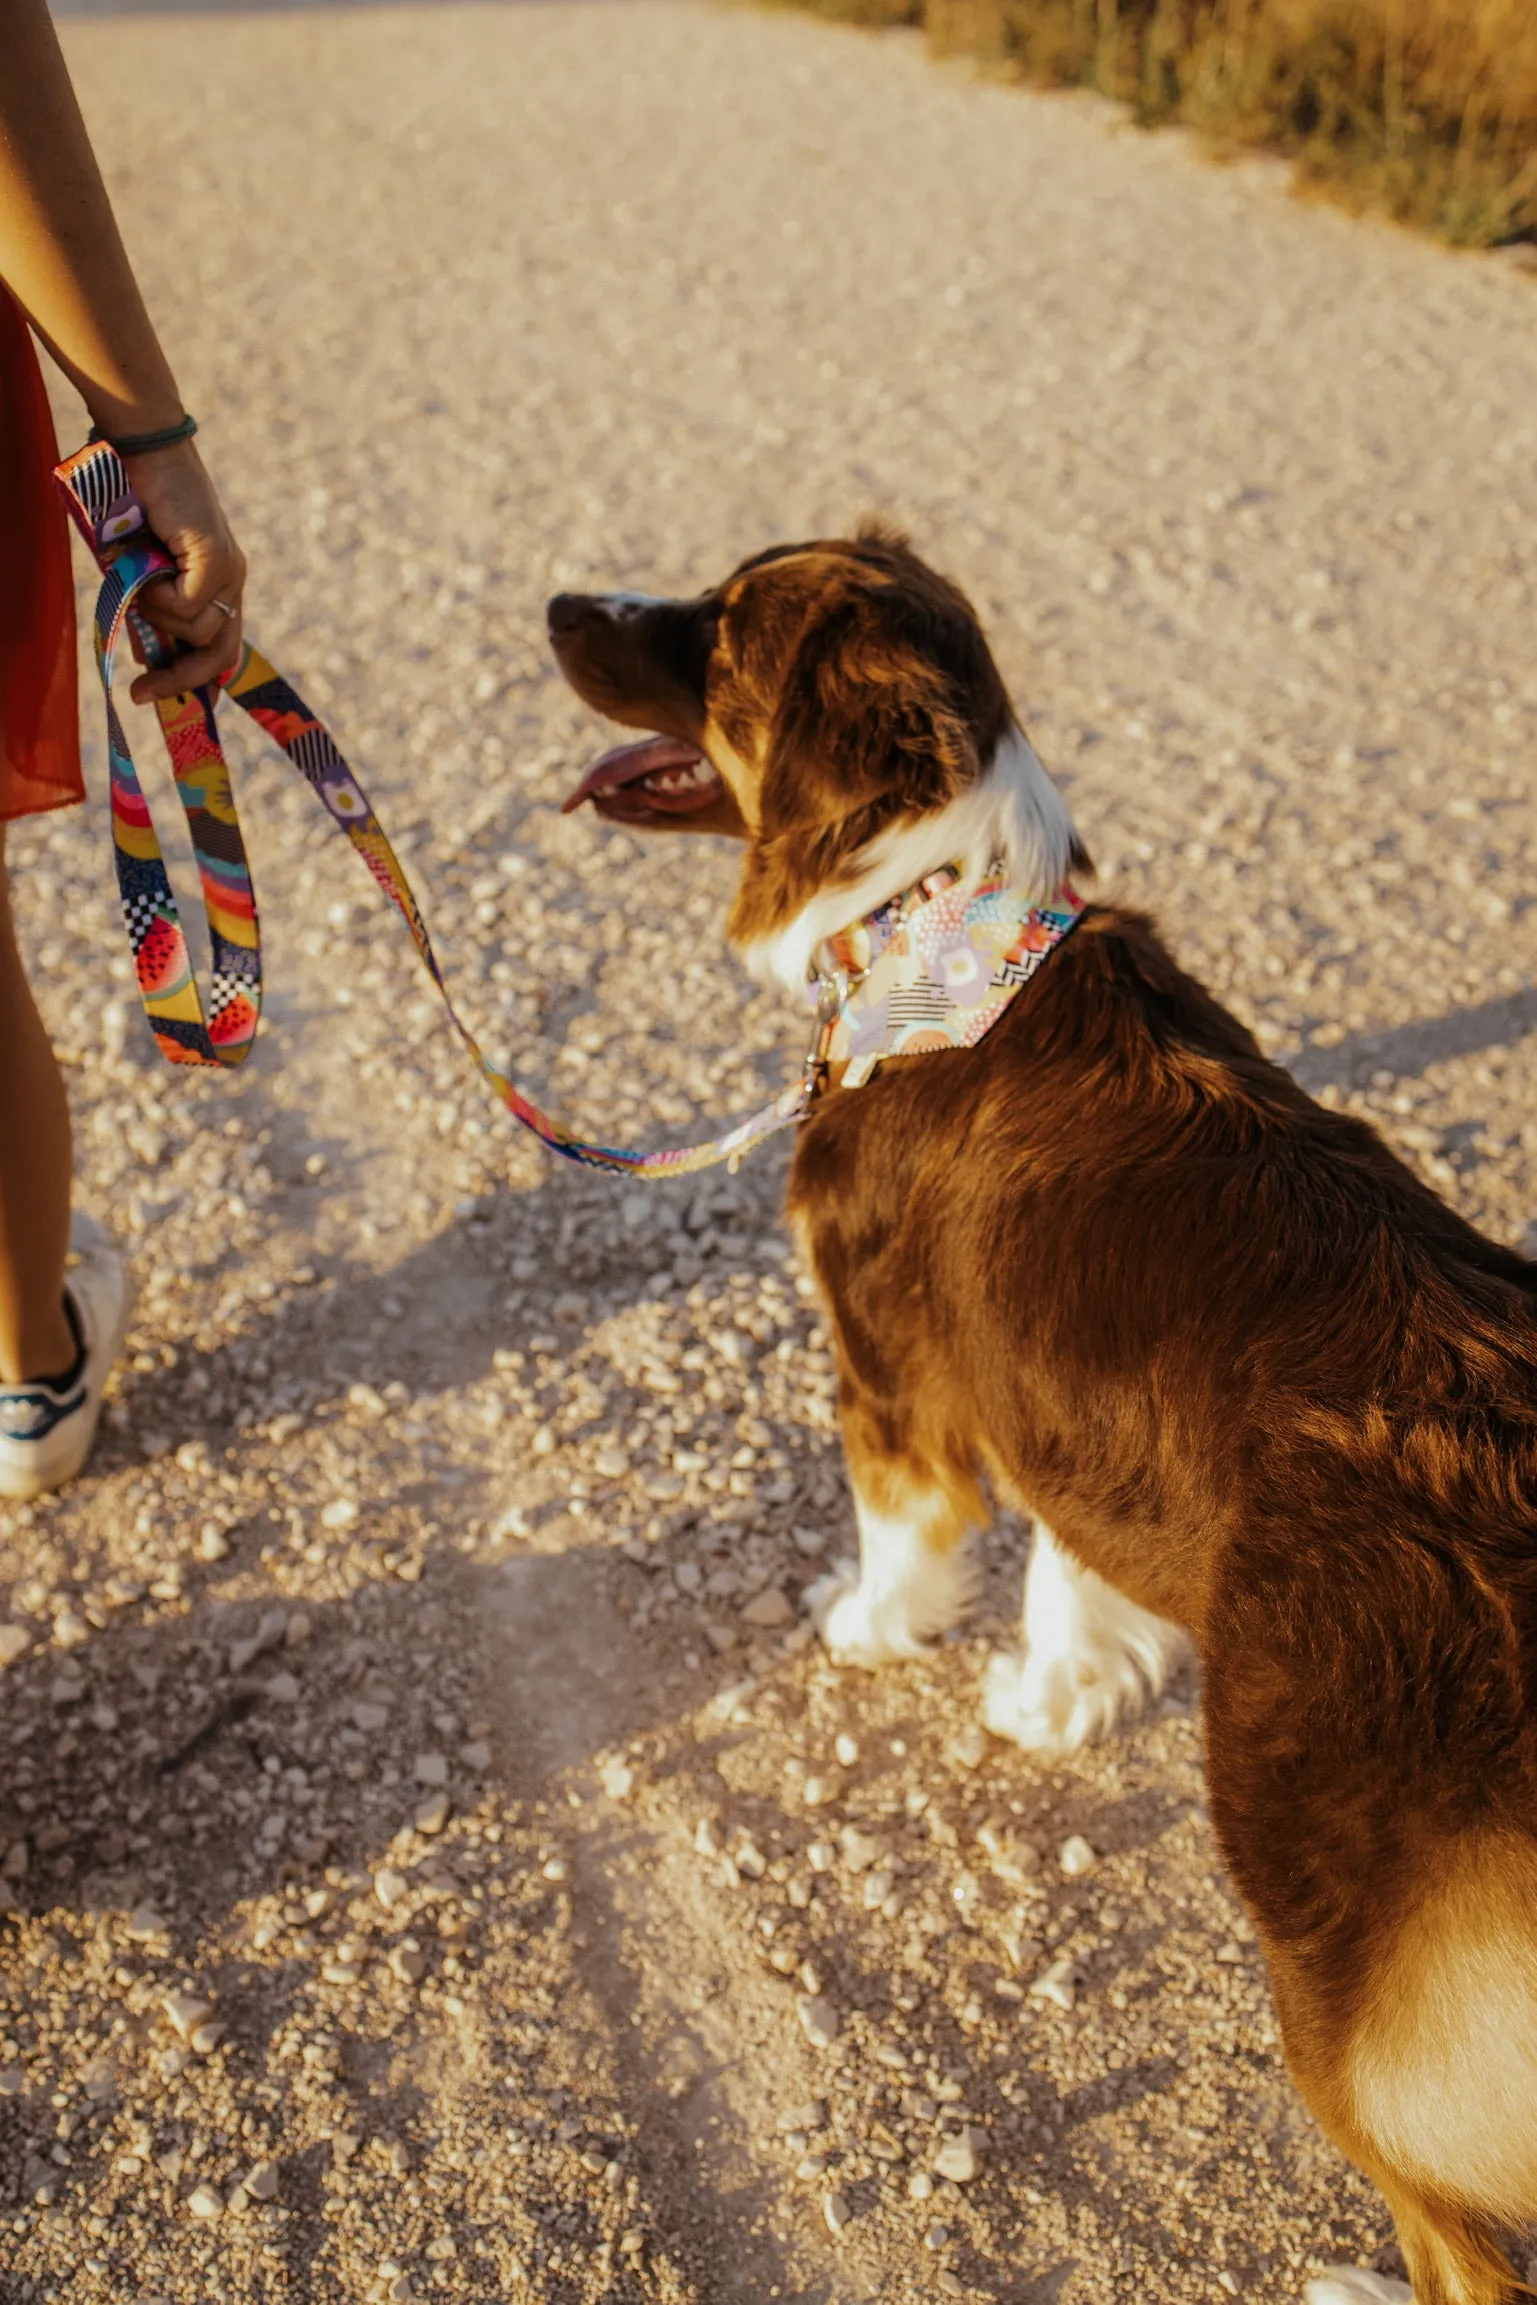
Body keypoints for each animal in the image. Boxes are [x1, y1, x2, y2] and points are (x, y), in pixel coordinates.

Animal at [550, 530, 1537, 2295]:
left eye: (716, 634)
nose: (552, 610)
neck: (945, 930)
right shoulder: (1066, 1401)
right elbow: (1078, 1567)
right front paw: (1059, 1694)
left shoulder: (887, 1366)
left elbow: (901, 1533)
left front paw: (872, 1627)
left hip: (1336, 1975)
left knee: (1458, 2234)